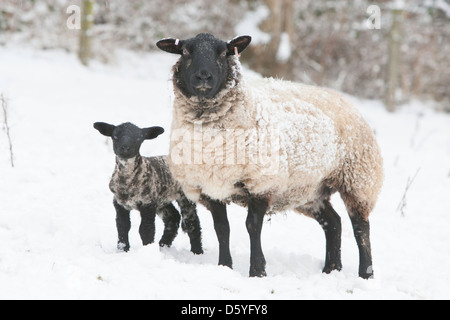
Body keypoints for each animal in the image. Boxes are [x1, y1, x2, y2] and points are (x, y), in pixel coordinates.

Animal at [95, 120, 204, 255]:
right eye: (115, 136)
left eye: (138, 138)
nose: (125, 148)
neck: (128, 182)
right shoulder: (120, 204)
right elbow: (122, 226)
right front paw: (123, 250)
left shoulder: (148, 204)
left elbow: (146, 229)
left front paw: (147, 249)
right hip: (162, 198)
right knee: (172, 218)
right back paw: (163, 246)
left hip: (185, 196)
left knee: (192, 222)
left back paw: (197, 251)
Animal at [157, 32, 384, 278]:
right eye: (185, 51)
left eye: (224, 52)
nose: (203, 76)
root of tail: (344, 99)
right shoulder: (210, 188)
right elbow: (222, 229)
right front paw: (225, 266)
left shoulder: (260, 183)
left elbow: (252, 226)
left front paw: (257, 271)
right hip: (309, 190)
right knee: (333, 223)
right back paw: (331, 269)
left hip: (357, 179)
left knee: (361, 228)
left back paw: (366, 274)